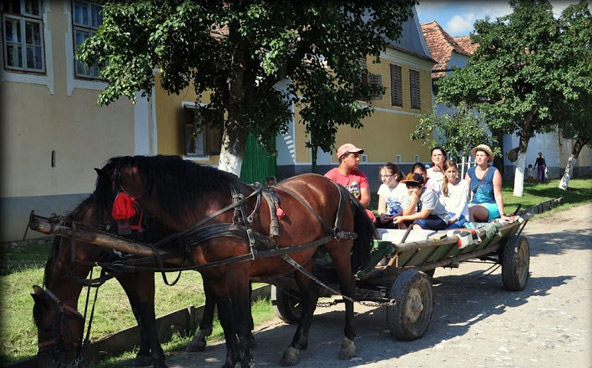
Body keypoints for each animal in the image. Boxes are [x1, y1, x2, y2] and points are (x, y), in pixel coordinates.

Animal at [95, 155, 374, 368]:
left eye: (105, 195)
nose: (105, 238)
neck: (211, 210)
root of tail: (335, 186)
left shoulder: (236, 272)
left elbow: (240, 322)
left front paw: (246, 360)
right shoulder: (213, 275)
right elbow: (228, 321)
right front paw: (231, 360)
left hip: (339, 248)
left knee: (347, 288)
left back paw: (348, 340)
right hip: (303, 256)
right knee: (310, 296)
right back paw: (296, 344)